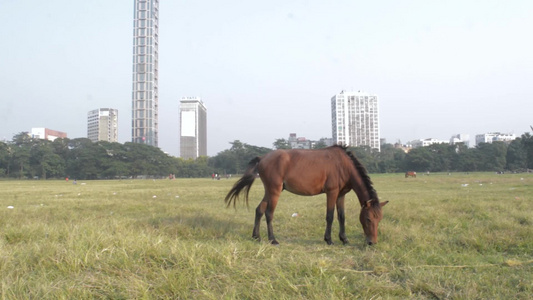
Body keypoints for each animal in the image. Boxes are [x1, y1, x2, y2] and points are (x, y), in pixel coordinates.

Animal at [224, 145, 386, 246]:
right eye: (368, 218)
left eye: (379, 219)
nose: (372, 242)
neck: (343, 165)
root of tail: (263, 157)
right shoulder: (332, 192)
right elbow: (330, 216)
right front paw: (329, 240)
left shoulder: (341, 194)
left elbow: (341, 216)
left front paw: (344, 239)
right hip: (274, 191)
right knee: (269, 213)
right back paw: (273, 240)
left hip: (269, 191)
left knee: (259, 210)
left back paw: (256, 236)